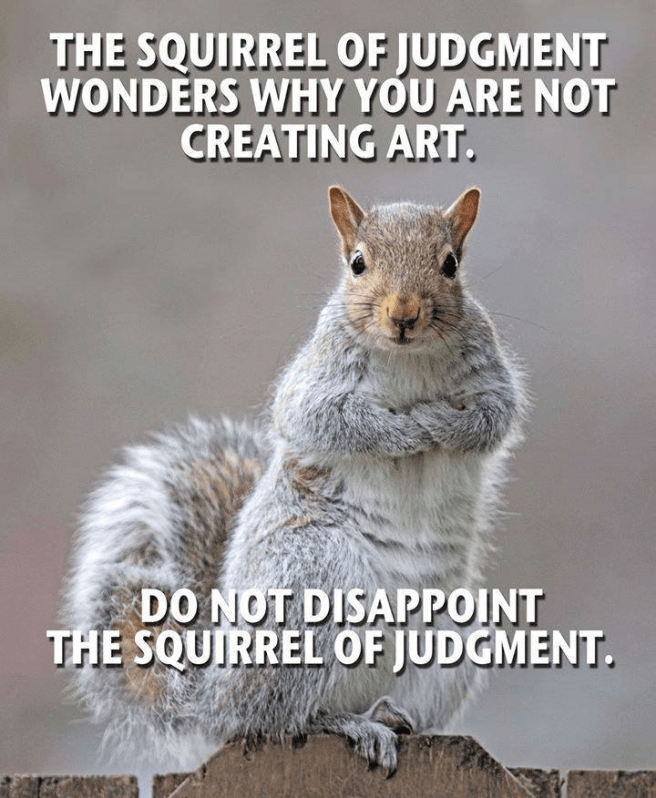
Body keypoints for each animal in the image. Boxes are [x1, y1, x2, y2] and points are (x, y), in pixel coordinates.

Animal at [63, 185, 526, 773]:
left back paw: (392, 715)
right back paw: (349, 724)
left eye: (450, 264)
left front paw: (443, 424)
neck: (409, 359)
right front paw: (404, 431)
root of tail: (211, 700)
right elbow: (321, 419)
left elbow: (494, 417)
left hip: (460, 628)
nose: (404, 315)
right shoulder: (315, 382)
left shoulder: (489, 374)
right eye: (357, 264)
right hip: (314, 578)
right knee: (280, 719)